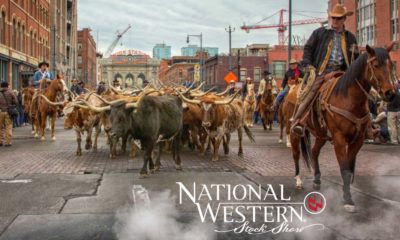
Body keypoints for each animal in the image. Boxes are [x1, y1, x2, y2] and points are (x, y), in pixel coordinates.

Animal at [288, 44, 396, 212]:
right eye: (375, 65)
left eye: (391, 65)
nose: (390, 93)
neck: (349, 99)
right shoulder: (339, 139)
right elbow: (344, 170)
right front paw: (348, 200)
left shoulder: (357, 140)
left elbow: (349, 169)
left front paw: (347, 195)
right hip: (294, 131)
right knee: (296, 154)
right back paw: (298, 180)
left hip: (321, 134)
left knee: (314, 152)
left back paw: (317, 180)